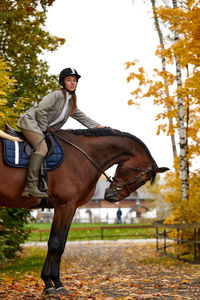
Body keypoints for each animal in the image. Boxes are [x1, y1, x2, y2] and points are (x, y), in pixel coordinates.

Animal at [0, 127, 169, 296]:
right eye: (142, 180)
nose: (112, 196)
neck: (80, 156)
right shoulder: (65, 205)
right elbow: (56, 243)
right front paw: (51, 283)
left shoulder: (70, 207)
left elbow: (60, 243)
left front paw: (53, 282)